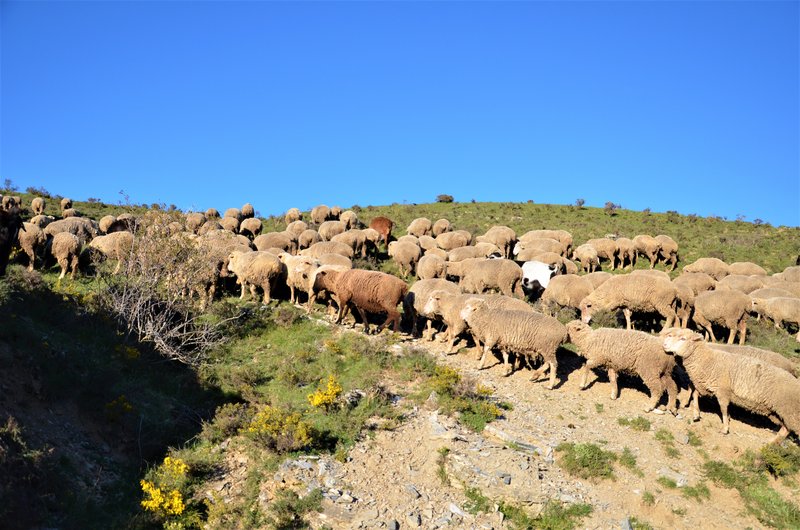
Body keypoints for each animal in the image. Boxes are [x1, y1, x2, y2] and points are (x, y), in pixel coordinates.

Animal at [660, 326, 796, 442]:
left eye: (683, 338)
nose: (664, 345)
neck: (708, 360)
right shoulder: (705, 384)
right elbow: (695, 394)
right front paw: (696, 414)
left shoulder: (722, 391)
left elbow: (723, 409)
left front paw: (725, 428)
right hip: (779, 413)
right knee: (785, 429)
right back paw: (773, 441)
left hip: (790, 412)